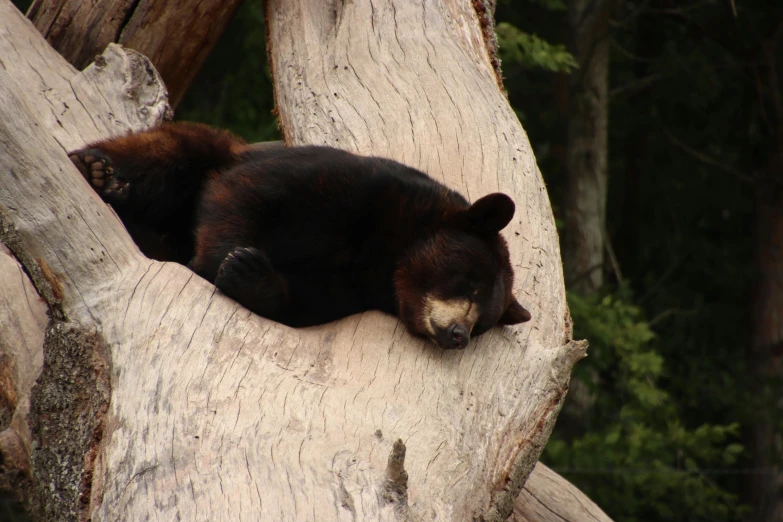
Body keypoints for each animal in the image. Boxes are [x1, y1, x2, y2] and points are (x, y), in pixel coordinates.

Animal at [70, 122, 532, 350]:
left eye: (484, 324)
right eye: (470, 284)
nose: (459, 337)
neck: (385, 252)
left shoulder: (354, 286)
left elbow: (308, 301)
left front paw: (250, 273)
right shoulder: (352, 184)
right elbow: (246, 191)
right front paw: (219, 261)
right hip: (212, 149)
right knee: (170, 151)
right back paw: (100, 171)